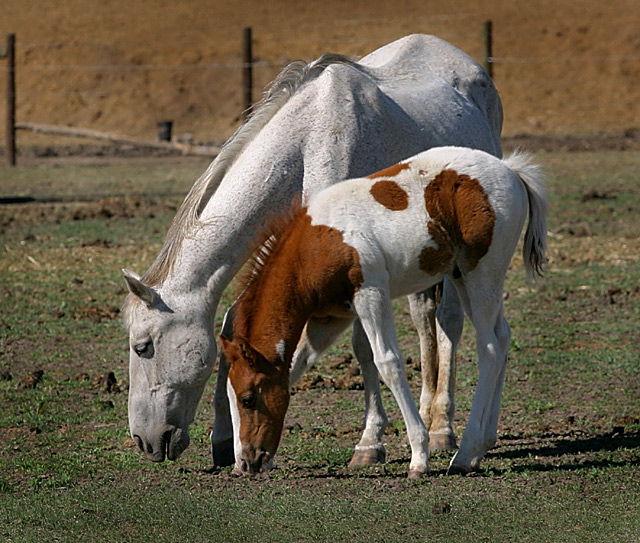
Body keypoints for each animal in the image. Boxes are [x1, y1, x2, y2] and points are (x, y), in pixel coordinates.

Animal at [122, 34, 504, 468]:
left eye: (143, 346)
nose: (144, 440)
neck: (311, 138)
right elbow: (234, 322)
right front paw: (223, 439)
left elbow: (364, 349)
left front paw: (370, 443)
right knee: (425, 319)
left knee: (449, 324)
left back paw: (442, 427)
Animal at [222, 147, 548, 478]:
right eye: (231, 399)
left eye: (248, 399)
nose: (247, 462)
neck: (315, 246)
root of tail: (510, 169)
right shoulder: (330, 318)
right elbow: (298, 364)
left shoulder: (371, 294)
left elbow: (388, 362)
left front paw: (419, 456)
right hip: (463, 277)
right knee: (502, 338)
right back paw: (484, 443)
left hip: (481, 274)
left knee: (490, 349)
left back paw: (466, 452)